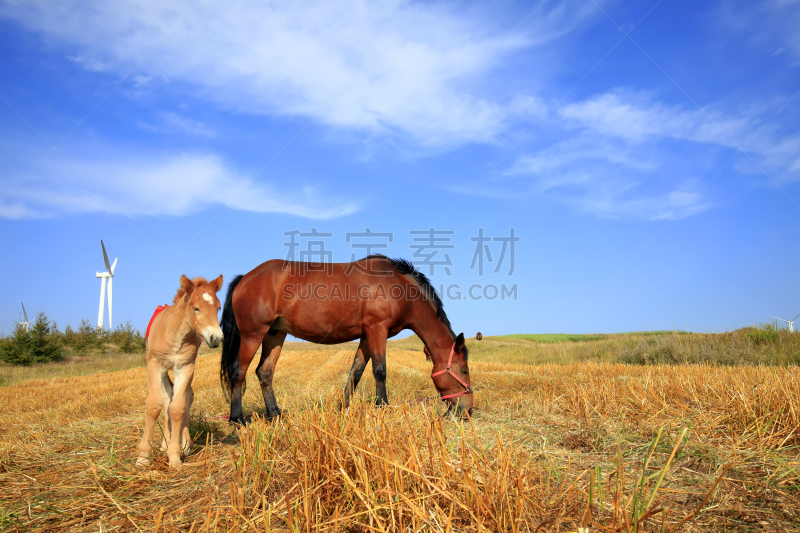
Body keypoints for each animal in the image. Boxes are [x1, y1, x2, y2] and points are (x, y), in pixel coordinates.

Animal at [134, 274, 222, 466]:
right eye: (196, 308)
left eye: (218, 308)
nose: (216, 338)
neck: (175, 333)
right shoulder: (155, 365)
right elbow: (154, 405)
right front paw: (143, 456)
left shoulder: (184, 366)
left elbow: (178, 407)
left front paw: (174, 455)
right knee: (167, 396)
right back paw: (164, 443)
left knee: (185, 396)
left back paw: (184, 444)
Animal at [219, 255, 472, 424]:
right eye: (464, 370)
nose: (468, 410)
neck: (399, 287)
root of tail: (245, 278)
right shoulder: (377, 329)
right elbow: (380, 370)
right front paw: (383, 406)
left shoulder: (367, 335)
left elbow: (355, 372)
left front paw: (344, 407)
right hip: (253, 335)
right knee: (238, 371)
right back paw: (237, 418)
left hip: (275, 335)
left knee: (264, 372)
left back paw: (275, 414)